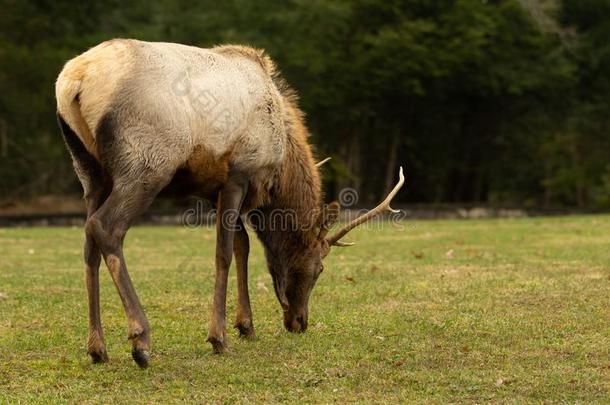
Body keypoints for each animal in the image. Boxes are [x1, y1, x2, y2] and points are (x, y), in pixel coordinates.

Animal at [54, 39, 402, 368]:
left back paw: (97, 348)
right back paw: (141, 340)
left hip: (89, 171)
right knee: (105, 227)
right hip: (146, 162)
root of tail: (74, 80)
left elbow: (241, 245)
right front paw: (218, 337)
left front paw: (246, 325)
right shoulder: (238, 174)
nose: (300, 322)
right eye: (319, 269)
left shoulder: (213, 188)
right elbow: (224, 252)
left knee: (88, 240)